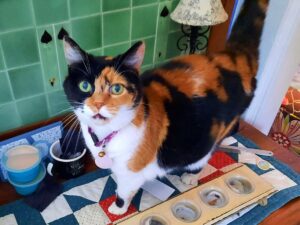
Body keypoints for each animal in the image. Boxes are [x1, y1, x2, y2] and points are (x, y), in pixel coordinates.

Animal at [62, 0, 268, 214]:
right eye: (84, 86)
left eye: (117, 88)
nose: (97, 105)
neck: (105, 137)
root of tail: (232, 56)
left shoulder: (131, 174)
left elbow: (123, 193)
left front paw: (118, 209)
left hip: (215, 133)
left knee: (206, 153)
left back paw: (191, 176)